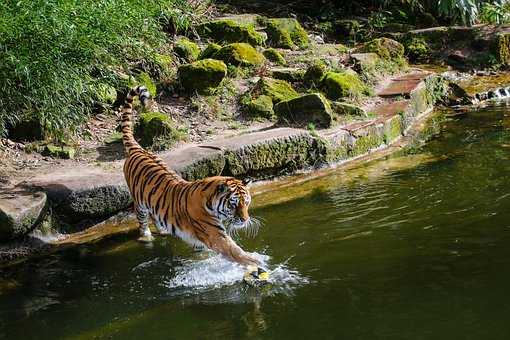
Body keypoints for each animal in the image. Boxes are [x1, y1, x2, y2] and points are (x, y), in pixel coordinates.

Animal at [119, 85, 262, 274]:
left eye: (246, 203)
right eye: (233, 205)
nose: (245, 220)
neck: (211, 202)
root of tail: (138, 149)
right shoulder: (215, 235)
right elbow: (235, 251)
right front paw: (257, 262)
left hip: (153, 202)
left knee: (154, 215)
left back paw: (163, 230)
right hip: (139, 202)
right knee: (141, 220)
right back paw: (146, 237)